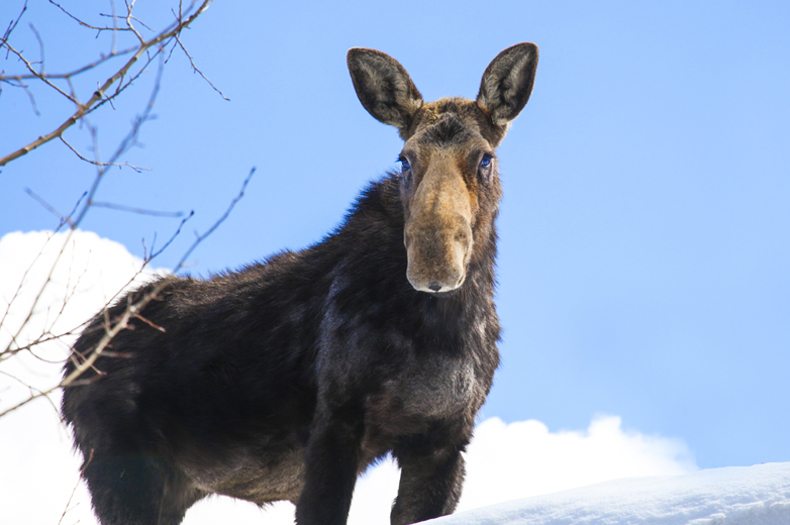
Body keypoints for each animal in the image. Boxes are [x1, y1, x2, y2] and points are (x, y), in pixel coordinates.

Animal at [61, 42, 539, 525]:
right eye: (404, 158)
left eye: (484, 158)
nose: (433, 267)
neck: (441, 327)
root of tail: (71, 364)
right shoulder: (337, 421)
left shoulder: (444, 440)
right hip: (122, 472)